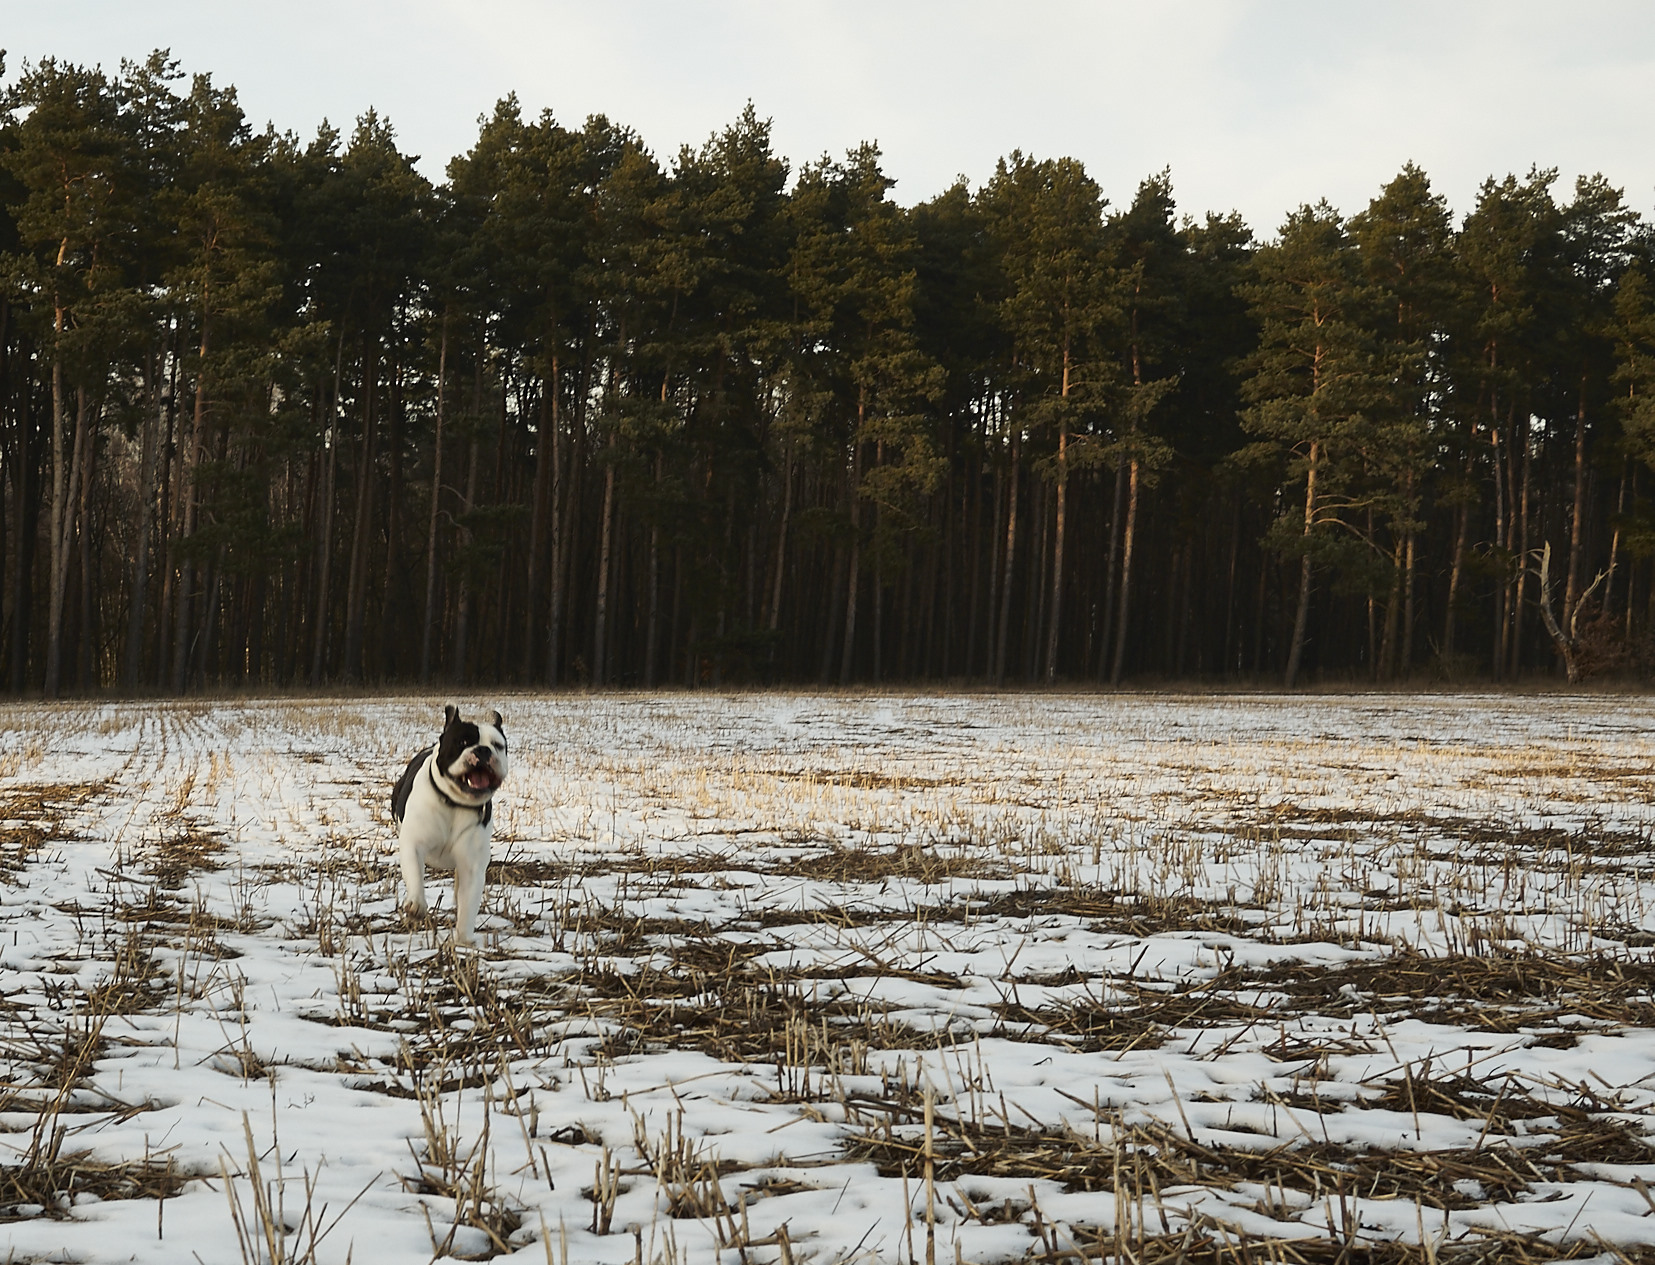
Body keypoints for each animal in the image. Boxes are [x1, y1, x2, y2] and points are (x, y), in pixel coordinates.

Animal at [393, 705, 509, 947]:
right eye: (462, 742)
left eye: (498, 745)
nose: (483, 750)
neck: (455, 802)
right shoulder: (413, 844)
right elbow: (415, 874)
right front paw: (416, 905)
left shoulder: (472, 865)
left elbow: (468, 904)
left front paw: (464, 940)